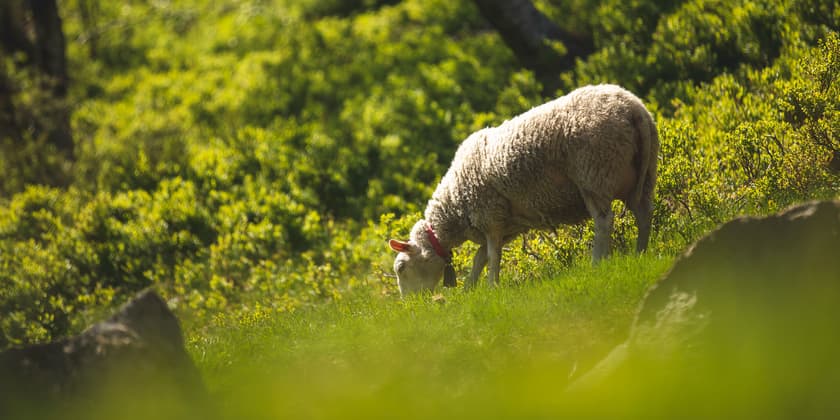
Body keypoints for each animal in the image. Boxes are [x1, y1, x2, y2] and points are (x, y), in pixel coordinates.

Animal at [390, 83, 660, 296]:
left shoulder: (489, 216)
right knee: (644, 213)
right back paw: (641, 253)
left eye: (401, 268)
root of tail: (633, 108)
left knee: (604, 221)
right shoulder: (503, 225)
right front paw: (469, 289)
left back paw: (597, 263)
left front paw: (491, 287)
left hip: (594, 174)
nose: (411, 304)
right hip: (642, 175)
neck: (454, 208)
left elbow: (492, 256)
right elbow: (481, 257)